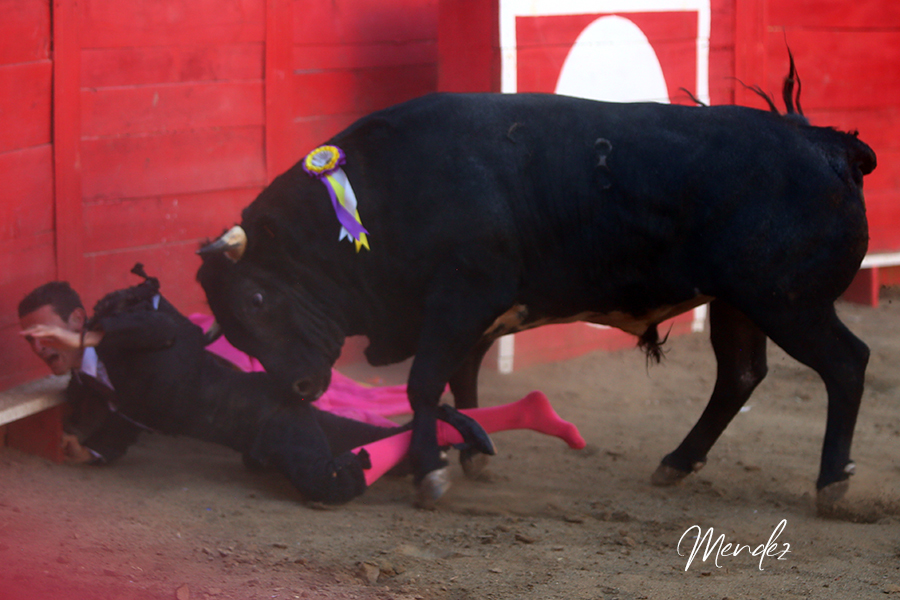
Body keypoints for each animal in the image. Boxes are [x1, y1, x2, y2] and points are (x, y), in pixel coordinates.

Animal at [196, 62, 876, 513]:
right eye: (233, 329)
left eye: (257, 299)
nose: (299, 389)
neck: (377, 197)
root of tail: (827, 145)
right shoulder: (471, 311)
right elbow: (460, 376)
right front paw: (470, 452)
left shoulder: (462, 295)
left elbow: (424, 383)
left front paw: (430, 473)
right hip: (740, 302)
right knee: (739, 375)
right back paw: (676, 464)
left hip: (788, 302)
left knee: (846, 362)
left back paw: (832, 483)